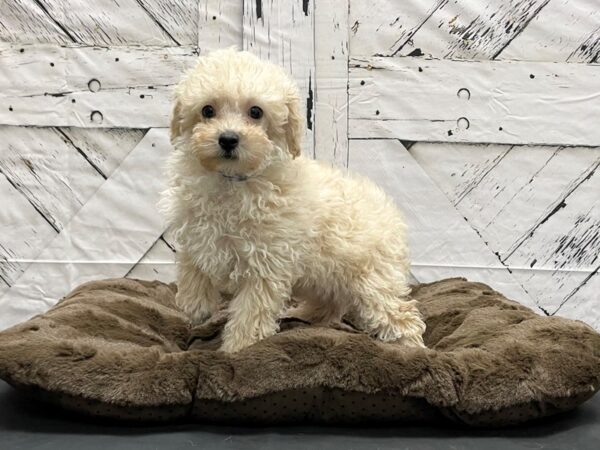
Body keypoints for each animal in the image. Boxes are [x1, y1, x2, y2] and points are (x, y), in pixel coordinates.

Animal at [157, 48, 424, 352]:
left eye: (256, 112)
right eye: (207, 110)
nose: (228, 139)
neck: (232, 180)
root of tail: (391, 212)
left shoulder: (265, 263)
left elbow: (251, 312)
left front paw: (237, 349)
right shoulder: (196, 232)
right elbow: (192, 268)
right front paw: (196, 305)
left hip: (373, 279)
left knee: (399, 314)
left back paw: (412, 346)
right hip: (325, 275)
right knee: (331, 303)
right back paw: (303, 314)